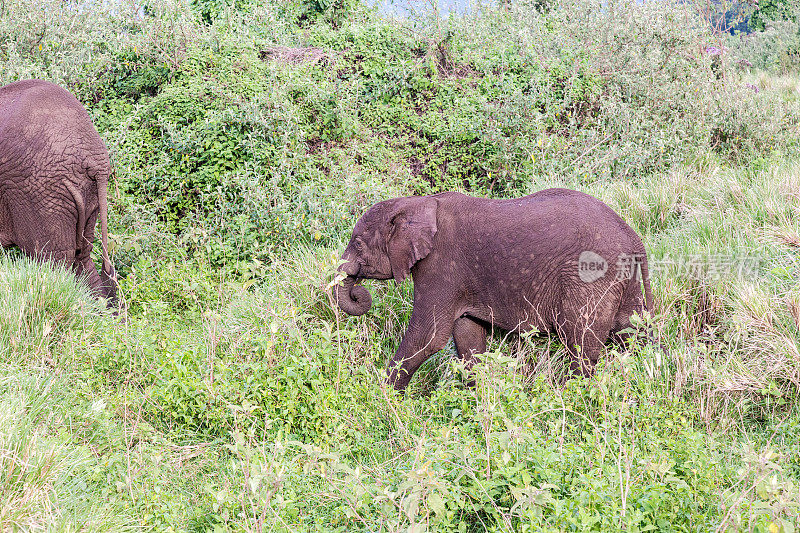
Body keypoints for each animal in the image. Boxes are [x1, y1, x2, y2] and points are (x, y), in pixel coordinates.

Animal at [334, 189, 652, 388]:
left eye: (358, 243)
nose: (359, 292)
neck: (418, 203)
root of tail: (634, 239)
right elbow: (467, 336)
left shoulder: (441, 265)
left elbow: (429, 337)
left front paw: (383, 397)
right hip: (625, 281)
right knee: (630, 333)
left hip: (590, 277)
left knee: (582, 344)